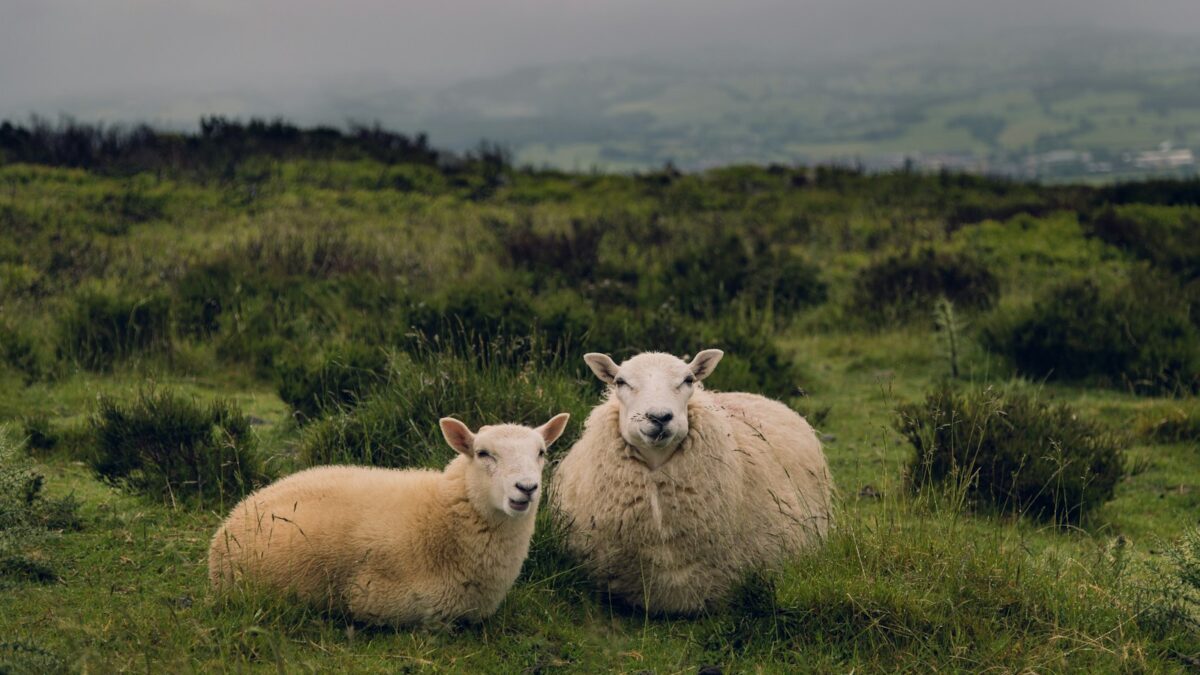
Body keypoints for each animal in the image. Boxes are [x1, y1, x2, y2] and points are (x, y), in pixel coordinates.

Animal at [208, 410, 568, 624]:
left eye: (541, 452)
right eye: (482, 453)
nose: (527, 488)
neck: (441, 517)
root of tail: (237, 512)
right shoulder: (381, 599)